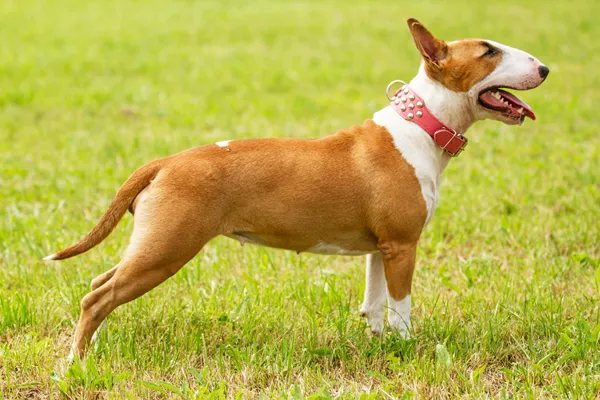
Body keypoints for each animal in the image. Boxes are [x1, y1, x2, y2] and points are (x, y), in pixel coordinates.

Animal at [43, 18, 548, 360]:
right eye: (488, 52)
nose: (544, 68)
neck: (421, 126)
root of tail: (164, 162)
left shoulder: (381, 247)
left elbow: (375, 304)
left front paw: (380, 346)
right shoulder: (404, 244)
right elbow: (401, 307)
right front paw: (411, 349)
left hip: (153, 243)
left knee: (101, 284)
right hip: (168, 247)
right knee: (97, 297)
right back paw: (75, 363)